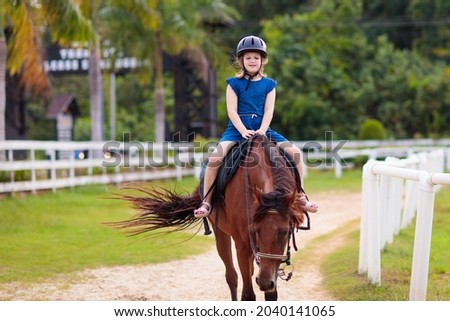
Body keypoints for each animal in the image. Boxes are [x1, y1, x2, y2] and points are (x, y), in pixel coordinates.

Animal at [113, 134, 310, 298]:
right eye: (255, 229)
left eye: (285, 232)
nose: (264, 282)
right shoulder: (242, 244)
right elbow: (247, 294)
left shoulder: (269, 257)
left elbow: (271, 294)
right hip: (221, 235)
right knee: (232, 277)